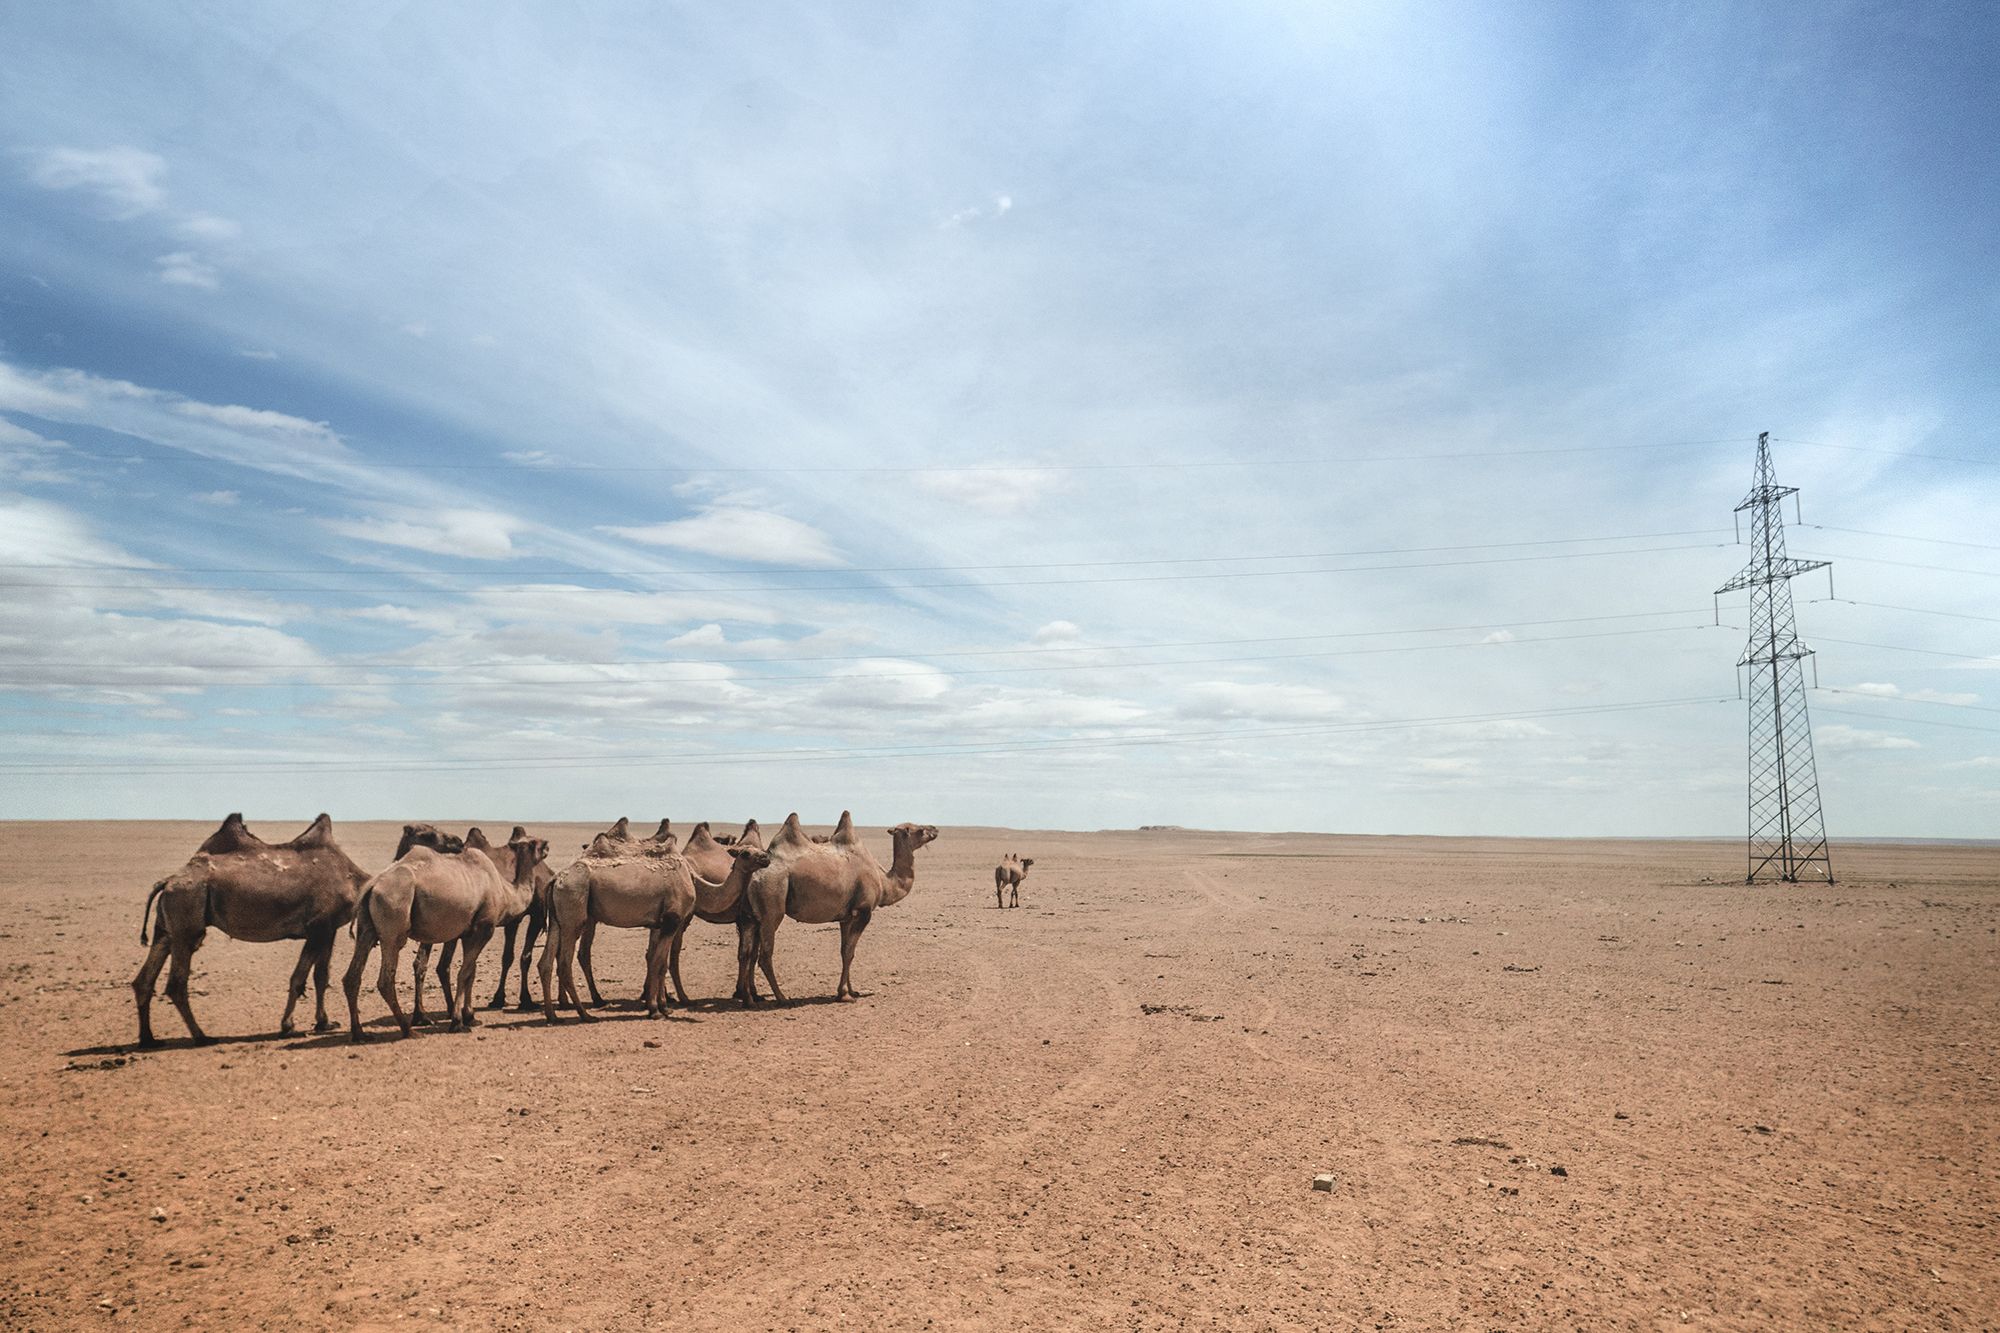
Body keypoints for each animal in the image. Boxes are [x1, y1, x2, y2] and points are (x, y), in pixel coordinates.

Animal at [344, 824, 548, 1032]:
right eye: (535, 843)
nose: (547, 844)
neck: (506, 891)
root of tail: (373, 885)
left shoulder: (468, 932)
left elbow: (471, 972)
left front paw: (469, 1016)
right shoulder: (484, 928)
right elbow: (464, 972)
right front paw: (458, 1020)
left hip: (367, 927)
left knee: (353, 974)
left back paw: (360, 1033)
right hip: (393, 921)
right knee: (387, 976)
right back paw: (409, 1029)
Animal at [736, 808, 936, 996]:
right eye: (919, 830)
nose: (935, 829)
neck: (883, 881)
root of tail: (754, 875)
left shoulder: (846, 917)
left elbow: (845, 952)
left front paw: (851, 990)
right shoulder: (863, 911)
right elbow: (849, 952)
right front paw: (844, 994)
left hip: (751, 916)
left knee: (748, 952)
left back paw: (749, 996)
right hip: (772, 903)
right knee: (764, 955)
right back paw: (780, 997)